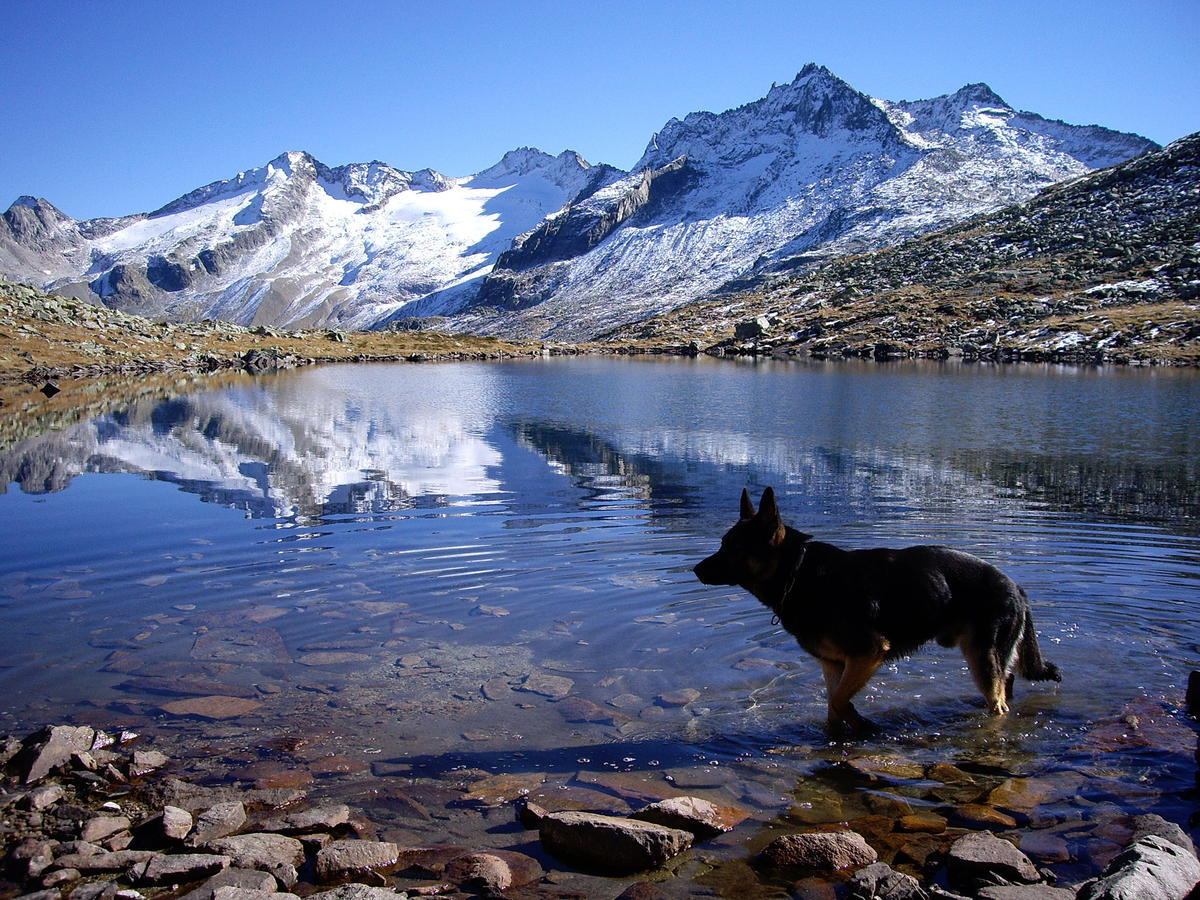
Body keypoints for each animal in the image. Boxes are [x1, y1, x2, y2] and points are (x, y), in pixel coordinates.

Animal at [696, 487, 1060, 734]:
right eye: (723, 544)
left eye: (732, 547)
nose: (696, 570)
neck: (798, 573)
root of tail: (1016, 587)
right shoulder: (833, 664)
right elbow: (832, 705)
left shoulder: (868, 653)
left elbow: (840, 701)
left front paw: (863, 724)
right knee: (1005, 683)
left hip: (981, 655)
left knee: (998, 701)